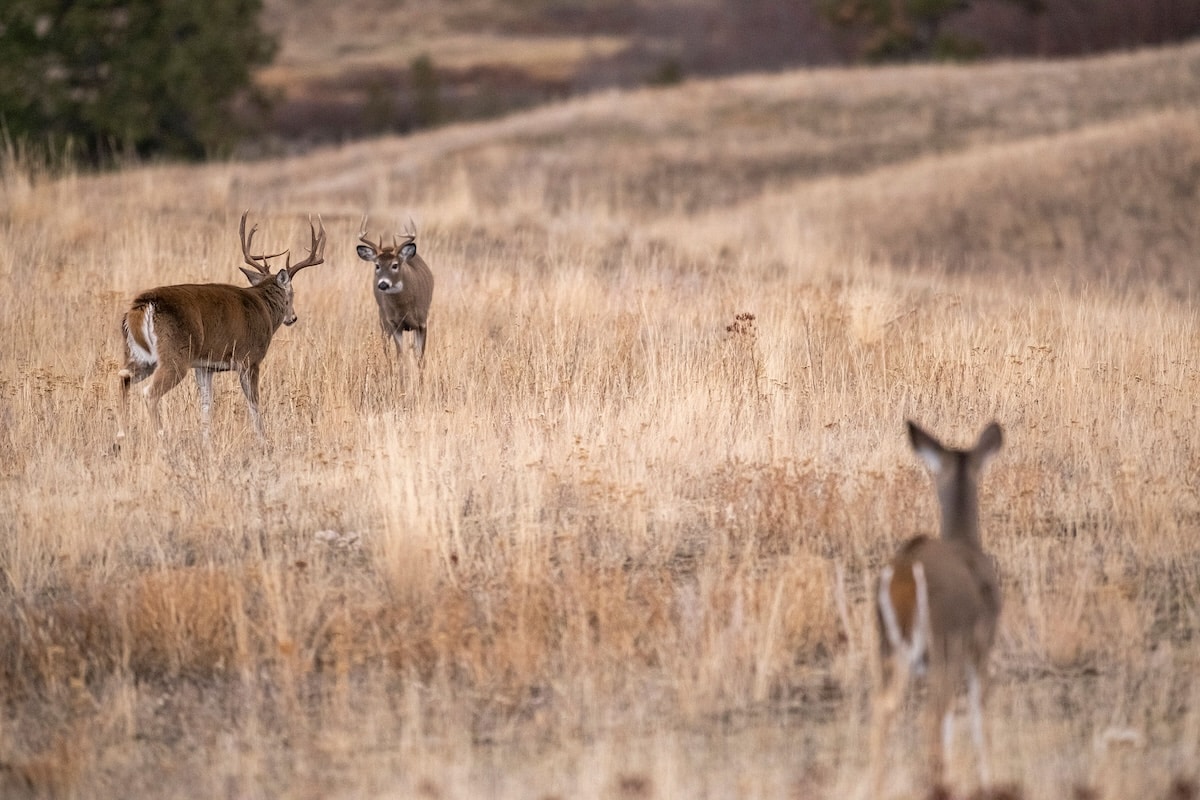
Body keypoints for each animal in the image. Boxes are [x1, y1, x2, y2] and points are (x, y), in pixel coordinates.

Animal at [116, 211, 326, 442]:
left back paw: (121, 434)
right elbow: (254, 402)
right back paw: (161, 437)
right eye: (292, 293)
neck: (265, 308)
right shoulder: (249, 359)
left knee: (123, 379)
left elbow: (206, 404)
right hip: (175, 355)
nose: (293, 318)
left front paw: (206, 440)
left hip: (139, 355)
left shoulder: (205, 366)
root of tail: (144, 304)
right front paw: (263, 439)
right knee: (149, 393)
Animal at [355, 216, 434, 367]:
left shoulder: (422, 322)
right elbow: (400, 356)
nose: (383, 284)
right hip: (383, 318)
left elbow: (420, 358)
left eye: (395, 265)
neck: (405, 308)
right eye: (377, 265)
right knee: (386, 349)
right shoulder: (395, 324)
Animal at [869, 420, 1004, 797]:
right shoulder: (981, 644)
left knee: (885, 707)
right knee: (931, 714)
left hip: (889, 648)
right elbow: (978, 716)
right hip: (944, 645)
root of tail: (904, 574)